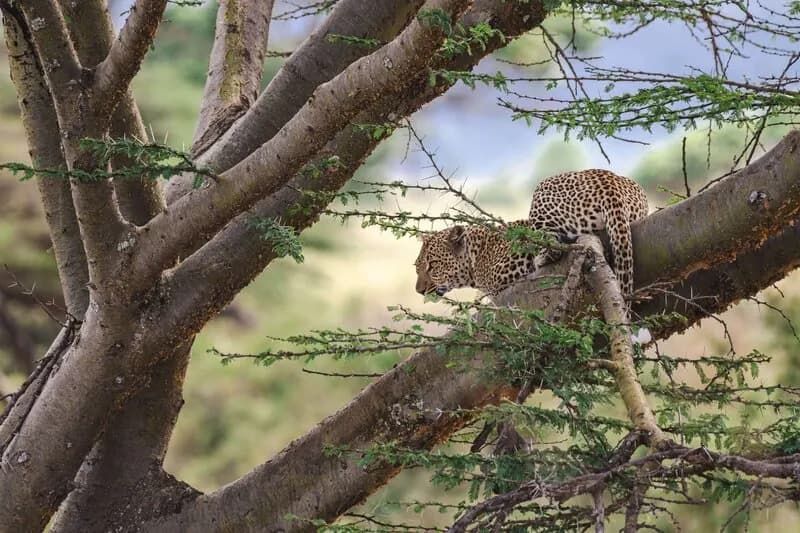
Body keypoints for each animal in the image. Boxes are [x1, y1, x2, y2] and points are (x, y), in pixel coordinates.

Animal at [414, 169, 649, 297]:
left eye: (432, 265)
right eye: (418, 268)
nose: (419, 291)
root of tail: (608, 179)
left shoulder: (510, 269)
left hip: (542, 192)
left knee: (554, 247)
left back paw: (542, 258)